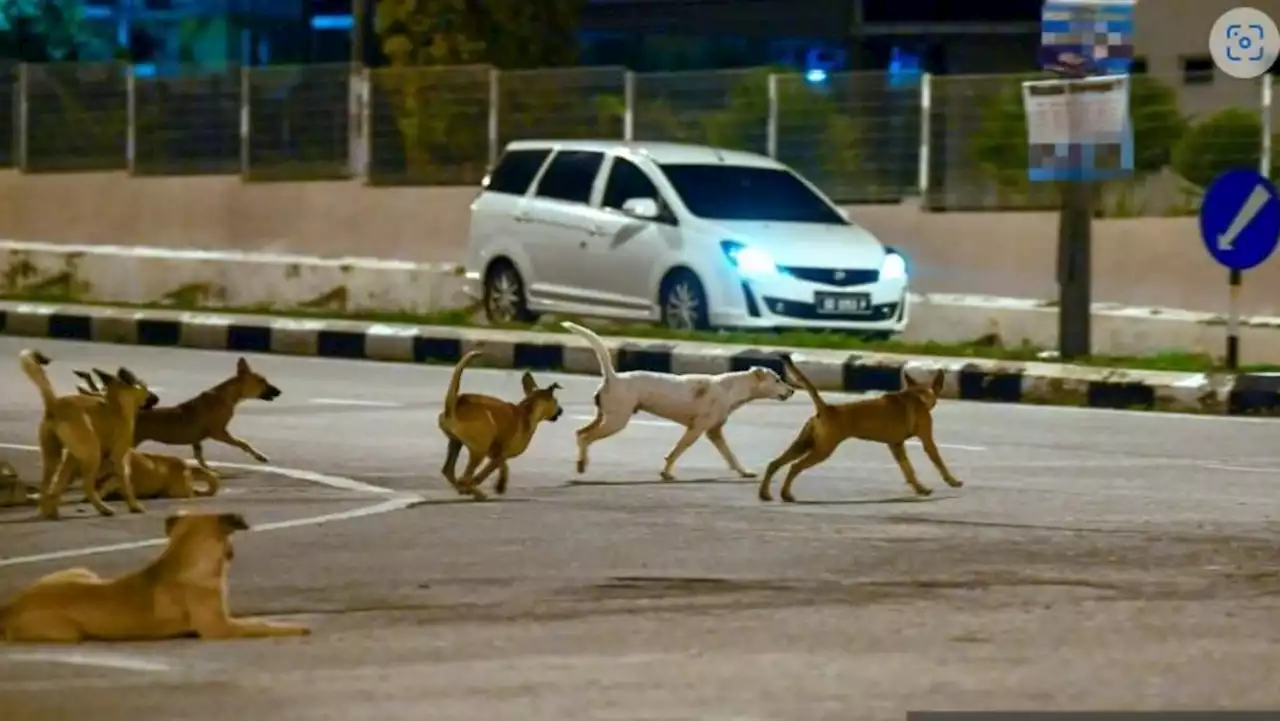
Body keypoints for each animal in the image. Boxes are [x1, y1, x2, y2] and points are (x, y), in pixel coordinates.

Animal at [0, 509, 309, 645]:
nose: (232, 554)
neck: (182, 558)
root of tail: (10, 607)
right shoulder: (220, 628)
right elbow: (262, 624)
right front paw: (295, 627)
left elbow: (255, 619)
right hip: (69, 633)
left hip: (83, 570)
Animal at [21, 350, 160, 519]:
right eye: (145, 387)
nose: (157, 398)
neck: (115, 402)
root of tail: (55, 403)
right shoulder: (120, 457)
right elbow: (126, 483)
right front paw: (134, 506)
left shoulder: (71, 458)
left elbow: (59, 483)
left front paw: (52, 505)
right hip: (93, 454)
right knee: (86, 485)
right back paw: (103, 509)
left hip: (53, 456)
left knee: (47, 485)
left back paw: (48, 511)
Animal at [437, 350, 563, 502]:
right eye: (556, 401)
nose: (561, 411)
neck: (527, 409)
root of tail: (457, 403)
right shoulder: (501, 454)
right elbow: (488, 471)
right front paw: (487, 483)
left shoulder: (496, 453)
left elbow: (503, 466)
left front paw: (500, 485)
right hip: (479, 450)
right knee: (464, 478)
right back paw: (474, 492)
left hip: (456, 443)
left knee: (449, 471)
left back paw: (468, 490)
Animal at [565, 322, 793, 481]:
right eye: (777, 380)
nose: (791, 390)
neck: (731, 387)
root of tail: (613, 378)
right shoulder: (696, 429)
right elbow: (676, 452)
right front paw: (666, 473)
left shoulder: (714, 432)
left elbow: (730, 455)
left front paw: (744, 472)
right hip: (616, 421)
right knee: (586, 438)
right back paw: (582, 463)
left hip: (604, 417)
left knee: (580, 433)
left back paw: (580, 461)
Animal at [752, 353, 962, 502]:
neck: (916, 394)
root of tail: (826, 408)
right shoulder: (927, 440)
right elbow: (939, 462)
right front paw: (952, 481)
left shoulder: (896, 445)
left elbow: (907, 469)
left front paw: (919, 488)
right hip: (823, 449)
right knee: (795, 466)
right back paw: (786, 494)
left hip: (803, 443)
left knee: (775, 463)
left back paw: (765, 493)